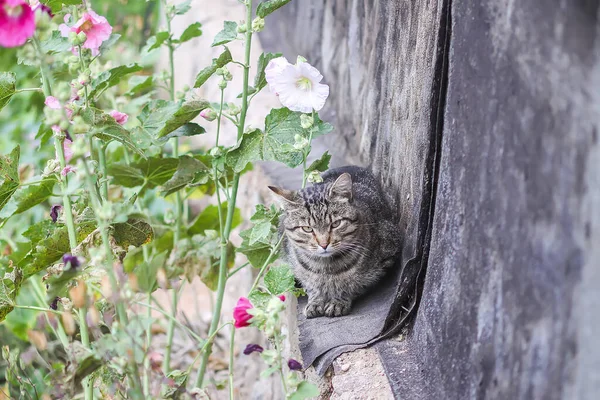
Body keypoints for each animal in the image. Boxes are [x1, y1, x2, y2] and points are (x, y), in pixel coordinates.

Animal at [268, 166, 400, 318]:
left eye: (336, 224)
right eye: (307, 228)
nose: (324, 244)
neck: (326, 267)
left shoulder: (387, 257)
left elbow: (353, 285)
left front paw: (338, 301)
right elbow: (311, 285)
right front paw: (316, 301)